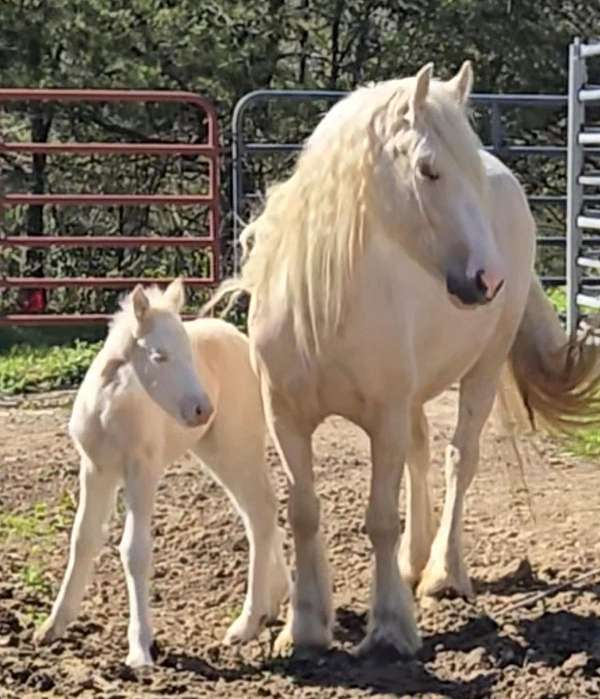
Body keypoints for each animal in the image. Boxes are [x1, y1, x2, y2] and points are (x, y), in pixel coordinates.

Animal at [34, 279, 290, 667]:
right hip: (216, 452)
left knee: (261, 511)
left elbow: (134, 550)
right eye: (159, 356)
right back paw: (272, 604)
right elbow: (83, 539)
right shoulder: (95, 469)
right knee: (258, 511)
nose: (202, 410)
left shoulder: (142, 472)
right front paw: (53, 626)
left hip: (235, 445)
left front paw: (140, 648)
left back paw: (247, 622)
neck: (112, 408)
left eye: (189, 352)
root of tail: (240, 337)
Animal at [203, 61, 600, 657]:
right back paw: (417, 560)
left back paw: (442, 573)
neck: (323, 310)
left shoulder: (383, 418)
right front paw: (305, 628)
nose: (489, 279)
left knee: (460, 458)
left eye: (467, 177)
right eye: (428, 170)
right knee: (422, 450)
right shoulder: (286, 419)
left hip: (481, 372)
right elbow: (304, 513)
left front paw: (390, 627)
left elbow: (380, 520)